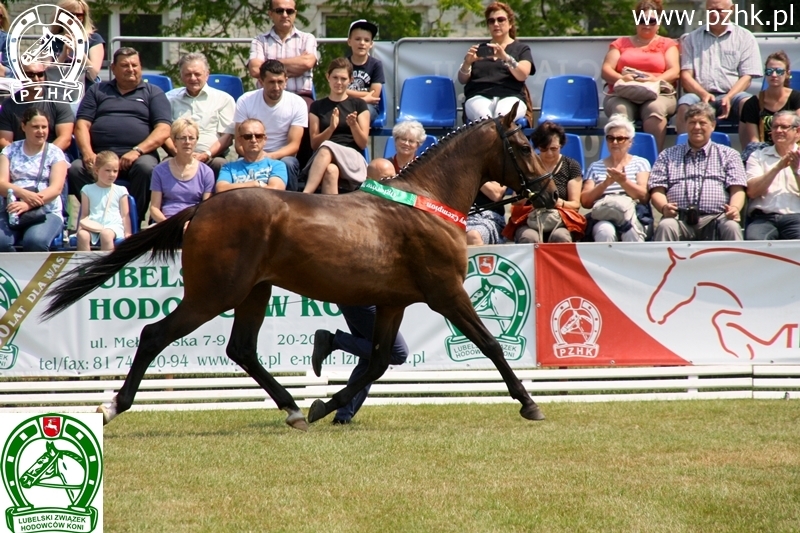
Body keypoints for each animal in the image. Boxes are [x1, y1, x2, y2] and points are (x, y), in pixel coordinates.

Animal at [42, 106, 556, 430]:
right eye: (521, 144)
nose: (549, 193)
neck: (427, 203)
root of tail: (202, 207)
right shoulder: (447, 292)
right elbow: (491, 344)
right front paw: (530, 404)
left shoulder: (394, 303)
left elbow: (376, 363)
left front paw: (324, 405)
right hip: (214, 295)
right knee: (154, 335)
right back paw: (114, 405)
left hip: (254, 293)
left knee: (241, 349)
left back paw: (293, 408)